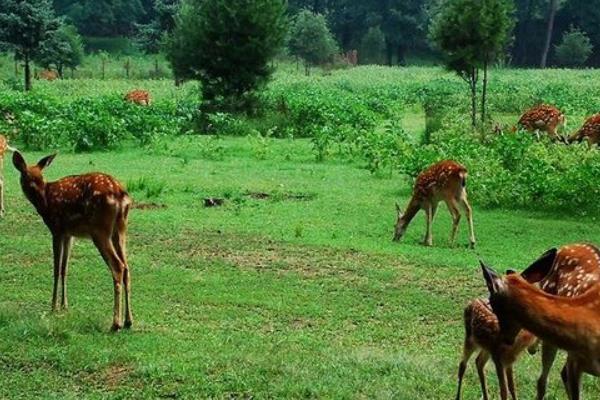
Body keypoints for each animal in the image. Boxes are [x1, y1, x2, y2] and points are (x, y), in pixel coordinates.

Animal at [12, 152, 134, 330]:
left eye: (40, 176)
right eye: (26, 175)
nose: (35, 190)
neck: (46, 201)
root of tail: (120, 194)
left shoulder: (56, 229)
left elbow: (56, 269)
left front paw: (53, 306)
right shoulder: (69, 234)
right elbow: (65, 268)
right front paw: (64, 305)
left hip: (100, 230)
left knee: (118, 266)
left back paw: (115, 323)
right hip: (120, 229)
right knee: (127, 267)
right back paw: (128, 321)